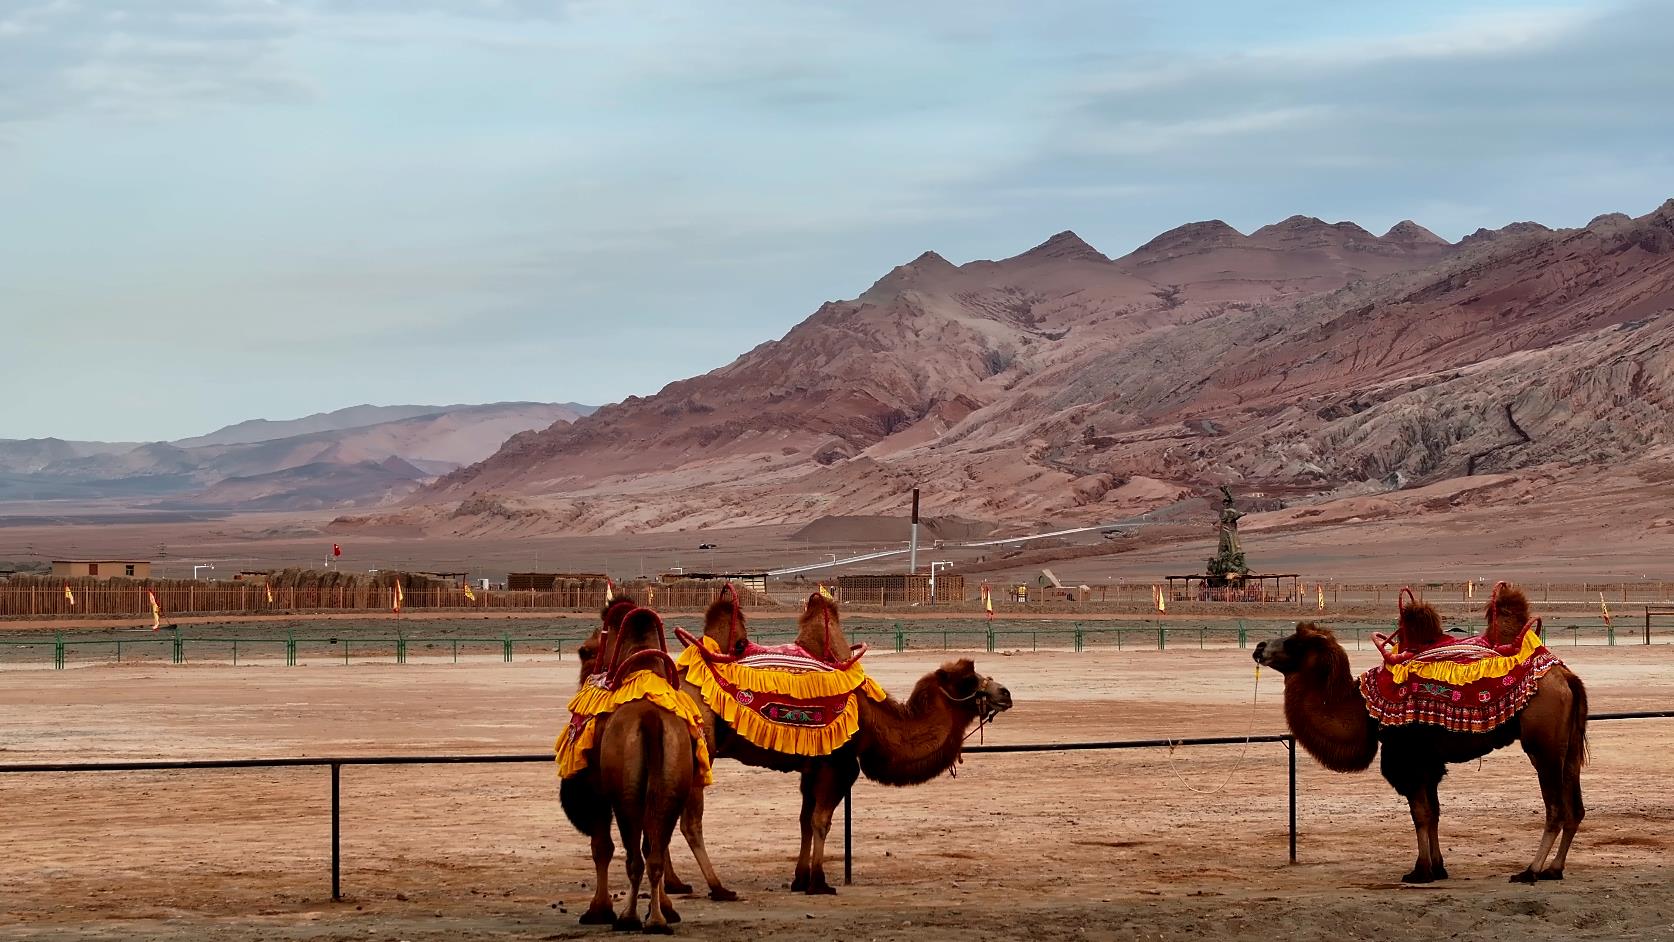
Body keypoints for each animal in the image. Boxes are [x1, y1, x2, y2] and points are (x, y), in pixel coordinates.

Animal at [676, 592, 1004, 896]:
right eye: (968, 680)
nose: (1006, 693)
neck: (873, 719)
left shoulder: (813, 765)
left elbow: (805, 820)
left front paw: (800, 879)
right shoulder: (838, 764)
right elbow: (821, 821)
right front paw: (818, 883)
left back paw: (678, 885)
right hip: (701, 751)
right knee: (690, 823)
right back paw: (717, 888)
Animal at [1252, 619, 1586, 883]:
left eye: (1294, 642)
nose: (1260, 646)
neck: (1365, 711)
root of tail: (1567, 678)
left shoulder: (1406, 757)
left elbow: (1420, 814)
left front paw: (1421, 872)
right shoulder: (1429, 761)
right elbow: (1434, 812)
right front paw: (1437, 868)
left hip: (1542, 746)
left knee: (1555, 808)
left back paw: (1530, 871)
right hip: (1568, 748)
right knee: (1575, 808)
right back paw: (1554, 869)